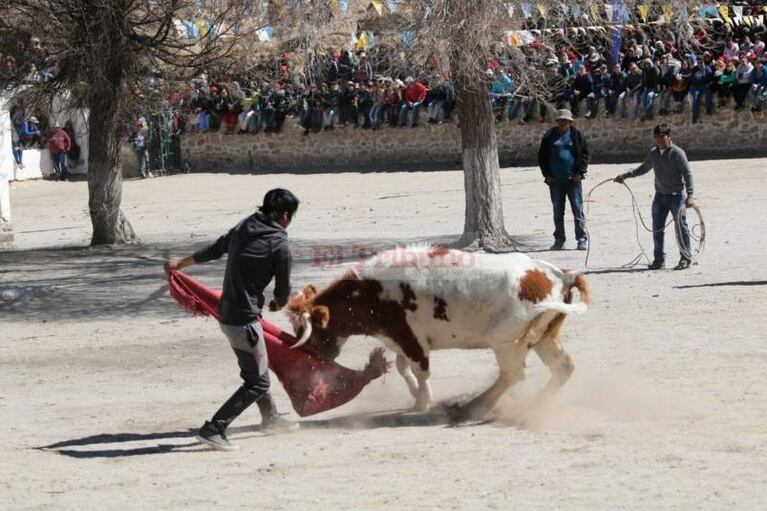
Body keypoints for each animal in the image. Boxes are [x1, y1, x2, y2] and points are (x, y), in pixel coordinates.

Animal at [284, 247, 592, 420]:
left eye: (309, 329)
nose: (314, 355)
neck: (372, 293)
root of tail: (558, 274)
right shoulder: (401, 339)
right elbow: (402, 366)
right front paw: (415, 395)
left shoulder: (411, 338)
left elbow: (420, 370)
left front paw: (423, 401)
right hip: (544, 336)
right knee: (563, 367)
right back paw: (534, 404)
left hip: (506, 341)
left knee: (513, 374)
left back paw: (473, 408)